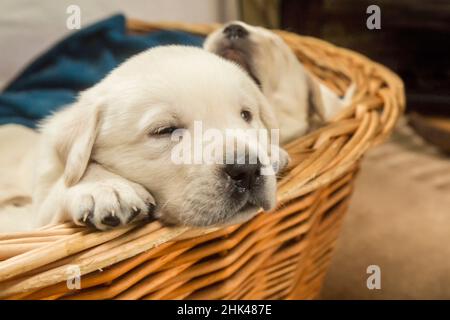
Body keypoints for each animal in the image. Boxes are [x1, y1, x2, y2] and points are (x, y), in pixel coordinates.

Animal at [26, 45, 288, 230]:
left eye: (246, 115)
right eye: (164, 130)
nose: (247, 169)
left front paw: (274, 153)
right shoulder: (37, 215)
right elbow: (63, 186)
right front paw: (105, 187)